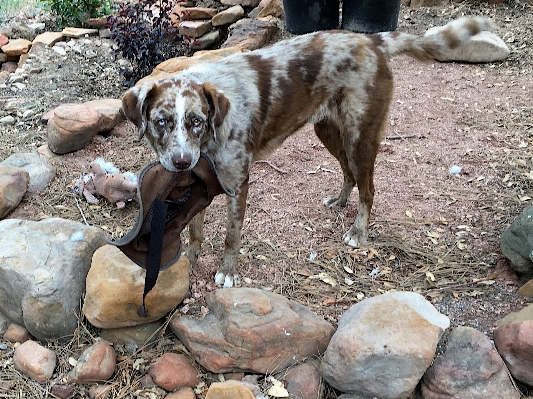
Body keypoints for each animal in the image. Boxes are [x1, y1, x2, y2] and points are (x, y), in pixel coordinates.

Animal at [122, 15, 496, 288]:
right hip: (328, 131)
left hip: (360, 137)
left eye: (196, 121)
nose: (181, 161)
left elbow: (231, 234)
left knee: (369, 188)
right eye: (161, 121)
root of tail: (371, 40)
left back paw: (358, 232)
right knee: (348, 174)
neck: (211, 137)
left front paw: (228, 271)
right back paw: (340, 200)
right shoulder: (200, 181)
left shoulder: (237, 185)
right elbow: (196, 229)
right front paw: (192, 256)